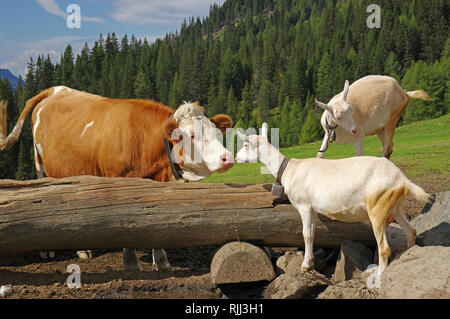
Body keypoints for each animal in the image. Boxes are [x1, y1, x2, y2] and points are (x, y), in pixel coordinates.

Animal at [0, 86, 232, 272]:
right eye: (192, 135)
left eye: (216, 133)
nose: (227, 157)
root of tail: (56, 89)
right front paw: (130, 264)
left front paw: (161, 262)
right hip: (40, 164)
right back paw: (50, 251)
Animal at [236, 124, 432, 274]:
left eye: (245, 144)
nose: (236, 157)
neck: (289, 169)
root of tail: (401, 178)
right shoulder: (313, 208)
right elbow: (313, 233)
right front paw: (311, 262)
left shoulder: (304, 205)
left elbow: (306, 234)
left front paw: (305, 266)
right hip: (395, 207)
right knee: (411, 231)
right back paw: (408, 255)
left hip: (378, 207)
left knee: (384, 247)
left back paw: (380, 274)